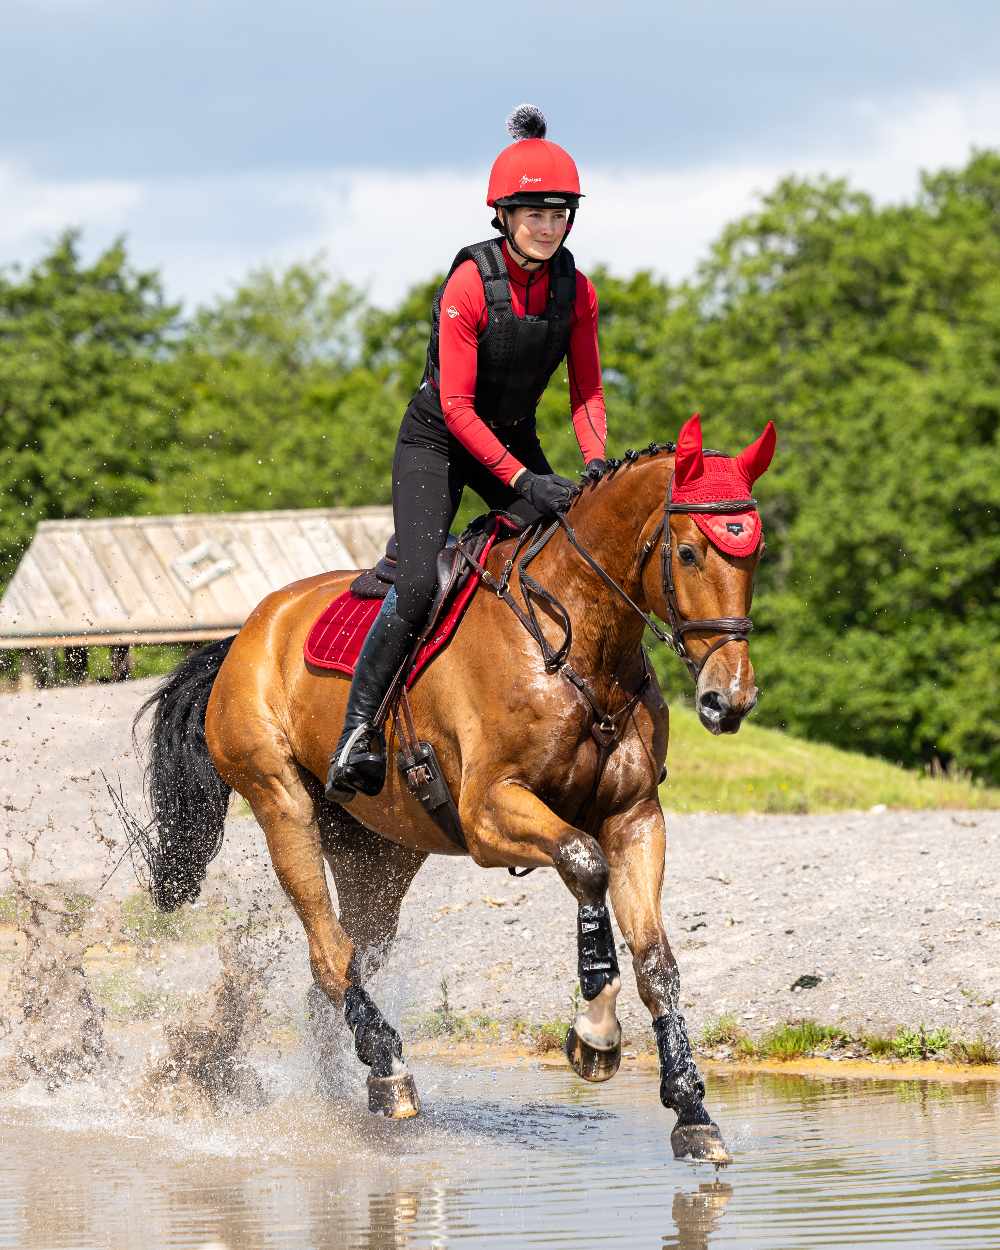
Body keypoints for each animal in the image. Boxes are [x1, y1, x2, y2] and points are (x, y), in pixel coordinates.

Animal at [135, 415, 775, 1165]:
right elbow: (584, 862)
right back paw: (388, 1070)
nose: (729, 700)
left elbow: (656, 960)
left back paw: (343, 1095)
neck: (576, 639)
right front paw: (594, 1033)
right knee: (330, 951)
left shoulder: (634, 815)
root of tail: (248, 632)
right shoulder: (489, 812)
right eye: (690, 552)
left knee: (346, 961)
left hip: (378, 854)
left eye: (753, 557)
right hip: (279, 799)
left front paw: (691, 1109)